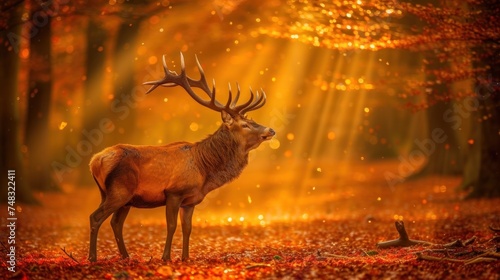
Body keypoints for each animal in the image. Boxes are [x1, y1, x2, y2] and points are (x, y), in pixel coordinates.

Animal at [90, 53, 278, 262]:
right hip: (119, 190)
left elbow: (188, 228)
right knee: (95, 217)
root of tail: (95, 161)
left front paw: (185, 258)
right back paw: (92, 257)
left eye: (251, 120)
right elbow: (171, 226)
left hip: (120, 196)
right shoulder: (174, 192)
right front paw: (166, 257)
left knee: (116, 223)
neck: (204, 170)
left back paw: (126, 256)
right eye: (245, 124)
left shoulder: (190, 201)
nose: (271, 130)